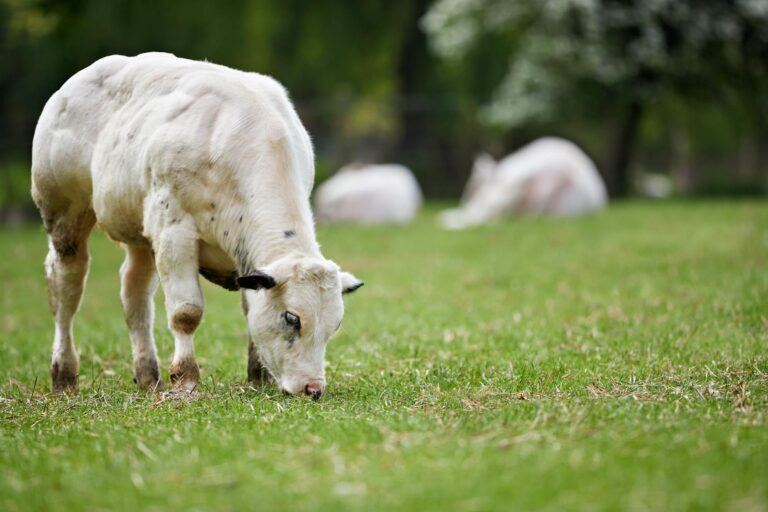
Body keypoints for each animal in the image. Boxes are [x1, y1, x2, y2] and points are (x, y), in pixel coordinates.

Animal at [31, 53, 363, 399]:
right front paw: (186, 377)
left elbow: (249, 309)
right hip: (65, 215)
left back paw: (148, 375)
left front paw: (258, 376)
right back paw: (64, 373)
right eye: (291, 317)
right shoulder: (174, 232)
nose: (313, 388)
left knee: (135, 293)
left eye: (335, 325)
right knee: (67, 287)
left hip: (139, 234)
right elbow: (186, 312)